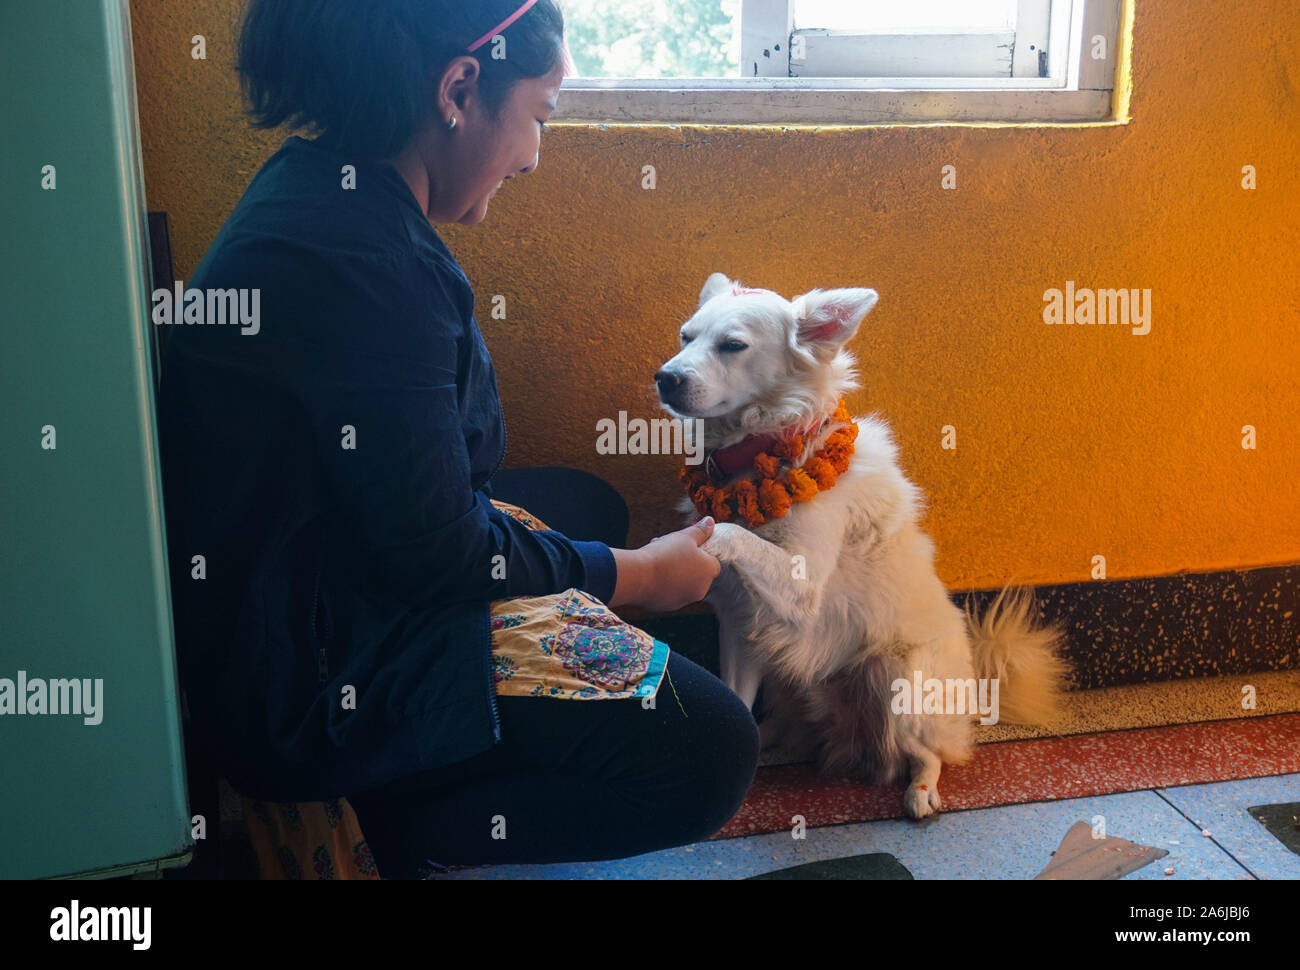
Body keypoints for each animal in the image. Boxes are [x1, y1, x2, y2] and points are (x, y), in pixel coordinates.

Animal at [655, 271, 1071, 816]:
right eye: (685, 337)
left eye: (732, 345)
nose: (665, 378)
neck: (760, 454)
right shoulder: (740, 625)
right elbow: (736, 704)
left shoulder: (802, 585)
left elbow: (728, 532)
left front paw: (689, 541)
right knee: (787, 728)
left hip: (897, 680)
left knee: (927, 753)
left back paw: (921, 792)